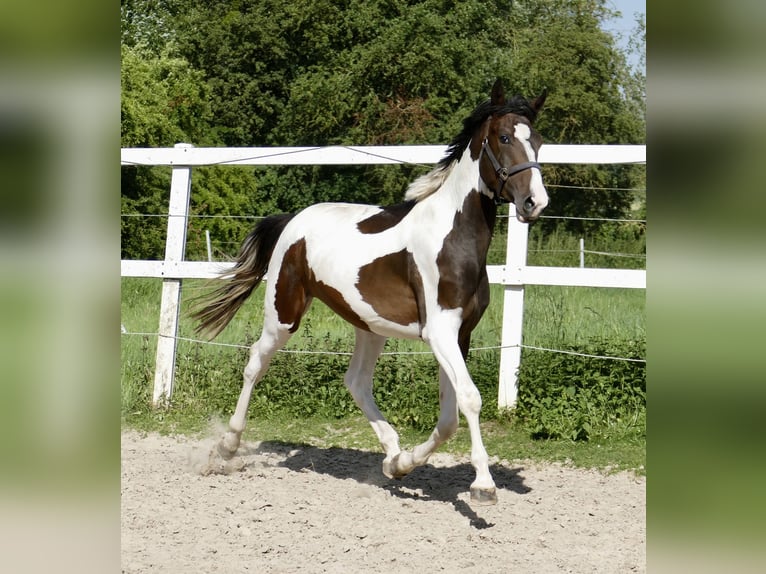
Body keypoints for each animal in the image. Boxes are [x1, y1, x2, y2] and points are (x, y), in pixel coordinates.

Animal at [195, 79, 548, 506]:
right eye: (504, 137)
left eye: (539, 141)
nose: (535, 203)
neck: (452, 237)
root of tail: (293, 219)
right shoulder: (440, 332)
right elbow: (469, 399)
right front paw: (483, 485)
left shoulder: (459, 335)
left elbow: (449, 415)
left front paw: (404, 464)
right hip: (283, 314)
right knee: (255, 364)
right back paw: (227, 447)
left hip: (369, 326)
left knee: (357, 381)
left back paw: (392, 454)